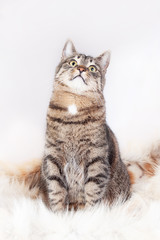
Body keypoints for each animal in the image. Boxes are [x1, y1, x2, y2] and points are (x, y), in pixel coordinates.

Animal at [38, 40, 130, 211]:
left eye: (92, 68)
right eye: (73, 62)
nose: (81, 69)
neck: (75, 102)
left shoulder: (96, 158)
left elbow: (93, 190)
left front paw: (90, 215)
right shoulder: (53, 156)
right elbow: (56, 188)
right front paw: (58, 214)